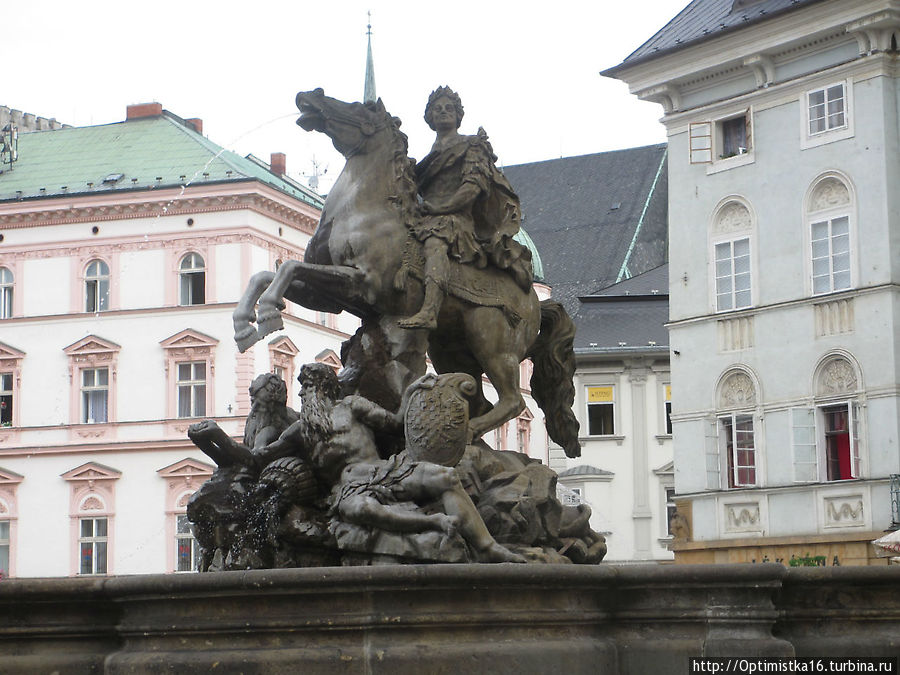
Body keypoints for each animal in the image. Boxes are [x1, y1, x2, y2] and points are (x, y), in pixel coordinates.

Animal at [232, 90, 580, 456]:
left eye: (360, 107)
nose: (308, 95)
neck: (366, 211)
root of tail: (536, 301)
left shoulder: (362, 285)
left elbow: (288, 266)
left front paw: (267, 313)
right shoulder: (330, 297)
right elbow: (268, 274)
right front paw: (246, 324)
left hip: (492, 344)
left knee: (512, 400)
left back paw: (468, 434)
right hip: (451, 350)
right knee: (483, 399)